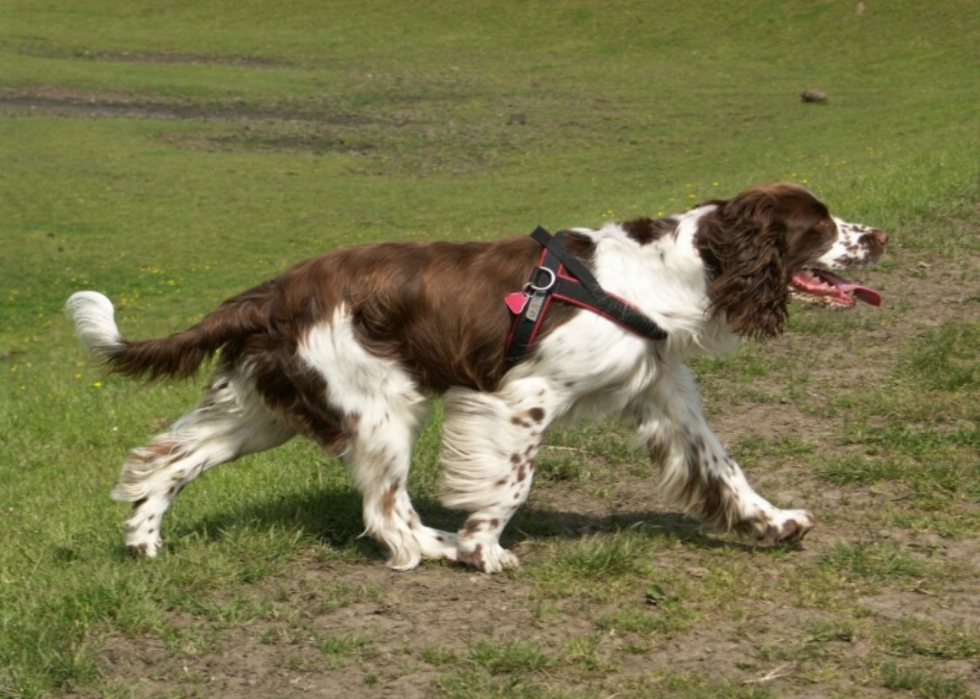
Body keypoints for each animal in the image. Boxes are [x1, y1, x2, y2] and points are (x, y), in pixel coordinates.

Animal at [67, 183, 888, 572]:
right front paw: (484, 548)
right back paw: (435, 547)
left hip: (267, 408)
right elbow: (511, 484)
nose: (878, 234)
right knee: (385, 512)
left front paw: (773, 523)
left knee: (166, 461)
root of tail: (275, 290)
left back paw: (143, 542)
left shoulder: (666, 395)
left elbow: (725, 468)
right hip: (383, 405)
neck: (667, 273)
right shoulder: (521, 397)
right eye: (820, 225)